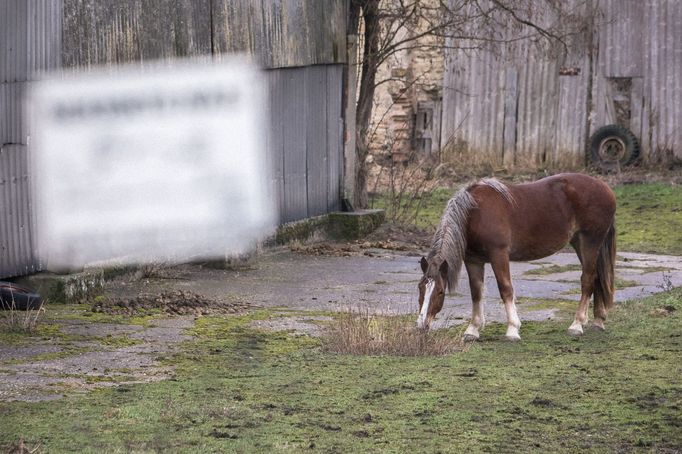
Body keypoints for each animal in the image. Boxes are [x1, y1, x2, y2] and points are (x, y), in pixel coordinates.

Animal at [414, 174, 616, 340]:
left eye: (440, 291)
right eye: (420, 288)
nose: (421, 325)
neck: (475, 213)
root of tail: (605, 188)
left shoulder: (499, 254)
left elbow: (505, 289)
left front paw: (512, 329)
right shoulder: (473, 260)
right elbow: (476, 292)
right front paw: (473, 329)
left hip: (590, 242)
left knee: (587, 280)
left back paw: (577, 325)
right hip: (580, 244)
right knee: (596, 277)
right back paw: (598, 321)